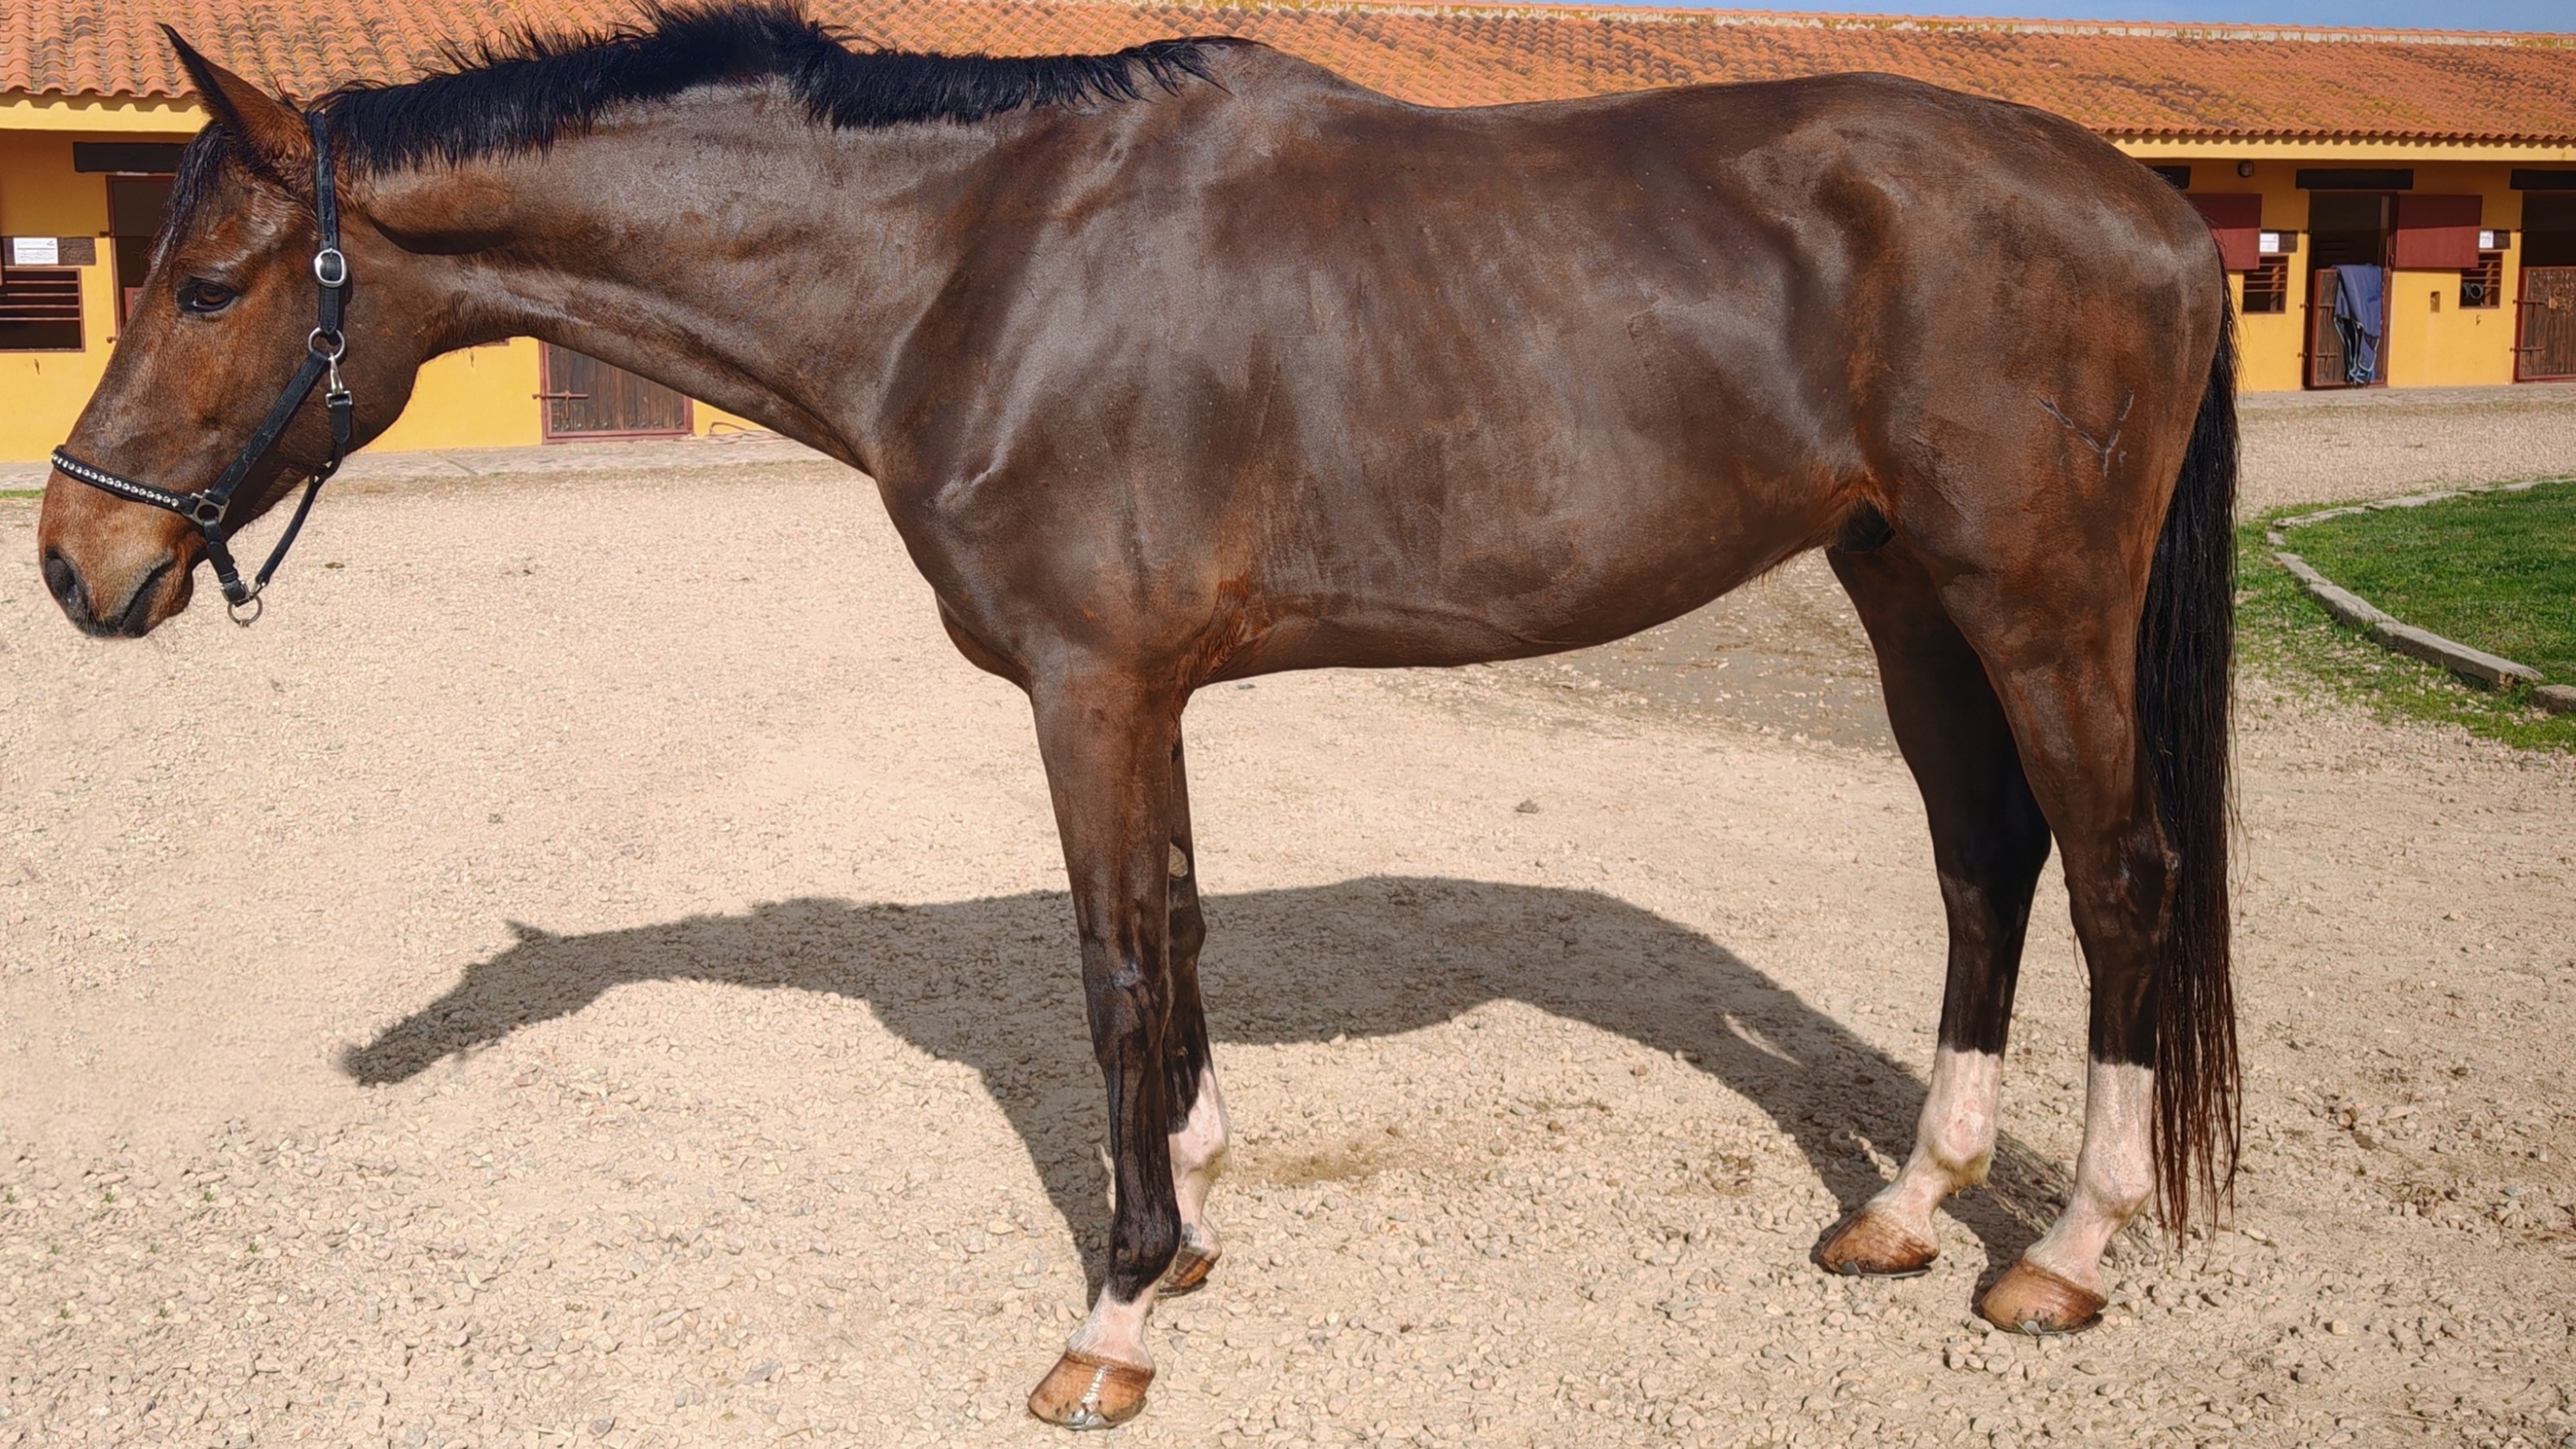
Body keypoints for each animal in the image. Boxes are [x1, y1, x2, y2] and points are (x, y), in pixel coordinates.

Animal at [36, 3, 2238, 1429]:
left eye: (212, 280)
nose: (74, 557)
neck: (972, 260)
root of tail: (2148, 207)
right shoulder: (1150, 689)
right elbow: (1173, 932)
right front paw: (1181, 1222)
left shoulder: (1087, 685)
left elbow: (1104, 967)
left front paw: (1110, 1314)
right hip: (1900, 583)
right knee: (1980, 862)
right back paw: (1901, 1205)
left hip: (2030, 602)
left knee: (2118, 872)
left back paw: (2062, 1250)